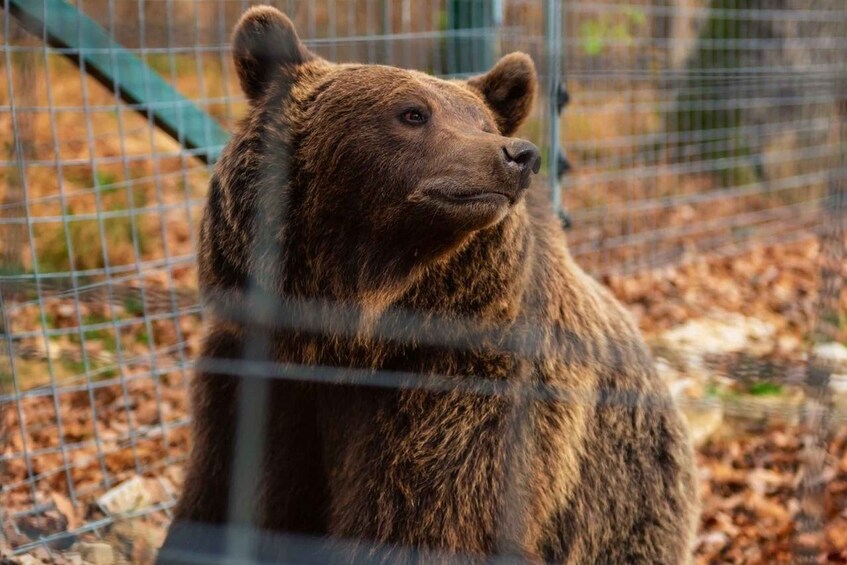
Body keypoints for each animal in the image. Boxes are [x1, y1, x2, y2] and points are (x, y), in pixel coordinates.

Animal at [156, 5, 700, 564]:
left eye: (482, 120)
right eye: (413, 113)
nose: (518, 154)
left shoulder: (467, 393)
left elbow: (424, 520)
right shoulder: (256, 378)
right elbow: (220, 500)